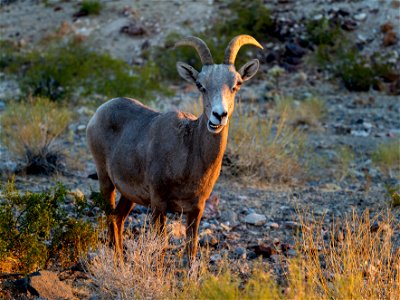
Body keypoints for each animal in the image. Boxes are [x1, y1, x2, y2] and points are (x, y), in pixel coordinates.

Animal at [86, 34, 264, 260]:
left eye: (236, 84)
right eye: (200, 85)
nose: (219, 115)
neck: (187, 156)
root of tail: (100, 111)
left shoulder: (196, 210)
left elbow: (191, 250)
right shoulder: (159, 205)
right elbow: (160, 249)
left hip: (128, 195)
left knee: (118, 219)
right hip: (106, 181)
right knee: (111, 220)